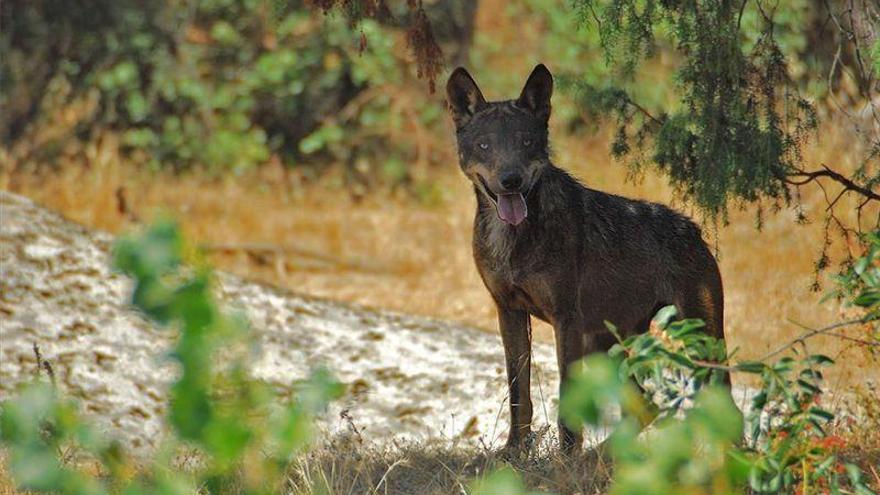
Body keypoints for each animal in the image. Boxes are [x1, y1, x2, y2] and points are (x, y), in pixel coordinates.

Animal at [444, 65, 724, 454]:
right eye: (485, 145)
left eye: (526, 142)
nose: (511, 180)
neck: (512, 240)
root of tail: (692, 228)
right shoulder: (509, 313)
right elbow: (519, 396)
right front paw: (514, 452)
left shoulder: (567, 320)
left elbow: (567, 400)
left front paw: (565, 459)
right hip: (607, 347)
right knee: (645, 406)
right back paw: (605, 456)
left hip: (700, 342)